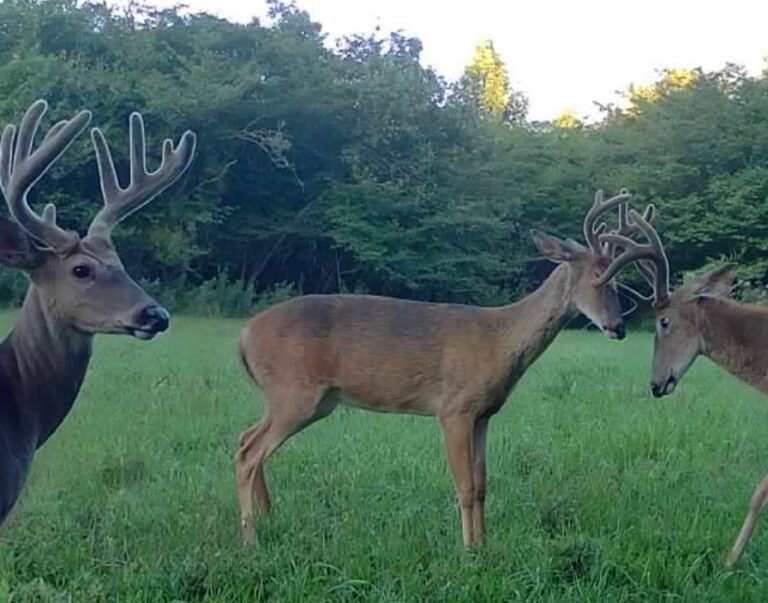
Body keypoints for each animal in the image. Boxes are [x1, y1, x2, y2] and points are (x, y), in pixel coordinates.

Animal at [234, 190, 651, 547]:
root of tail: (243, 335)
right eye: (598, 276)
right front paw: (468, 552)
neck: (500, 340)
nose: (618, 327)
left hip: (307, 400)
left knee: (245, 439)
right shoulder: (453, 408)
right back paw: (251, 541)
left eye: (618, 280)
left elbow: (482, 485)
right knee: (248, 454)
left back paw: (270, 518)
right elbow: (464, 487)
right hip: (296, 393)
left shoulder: (484, 414)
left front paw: (484, 544)